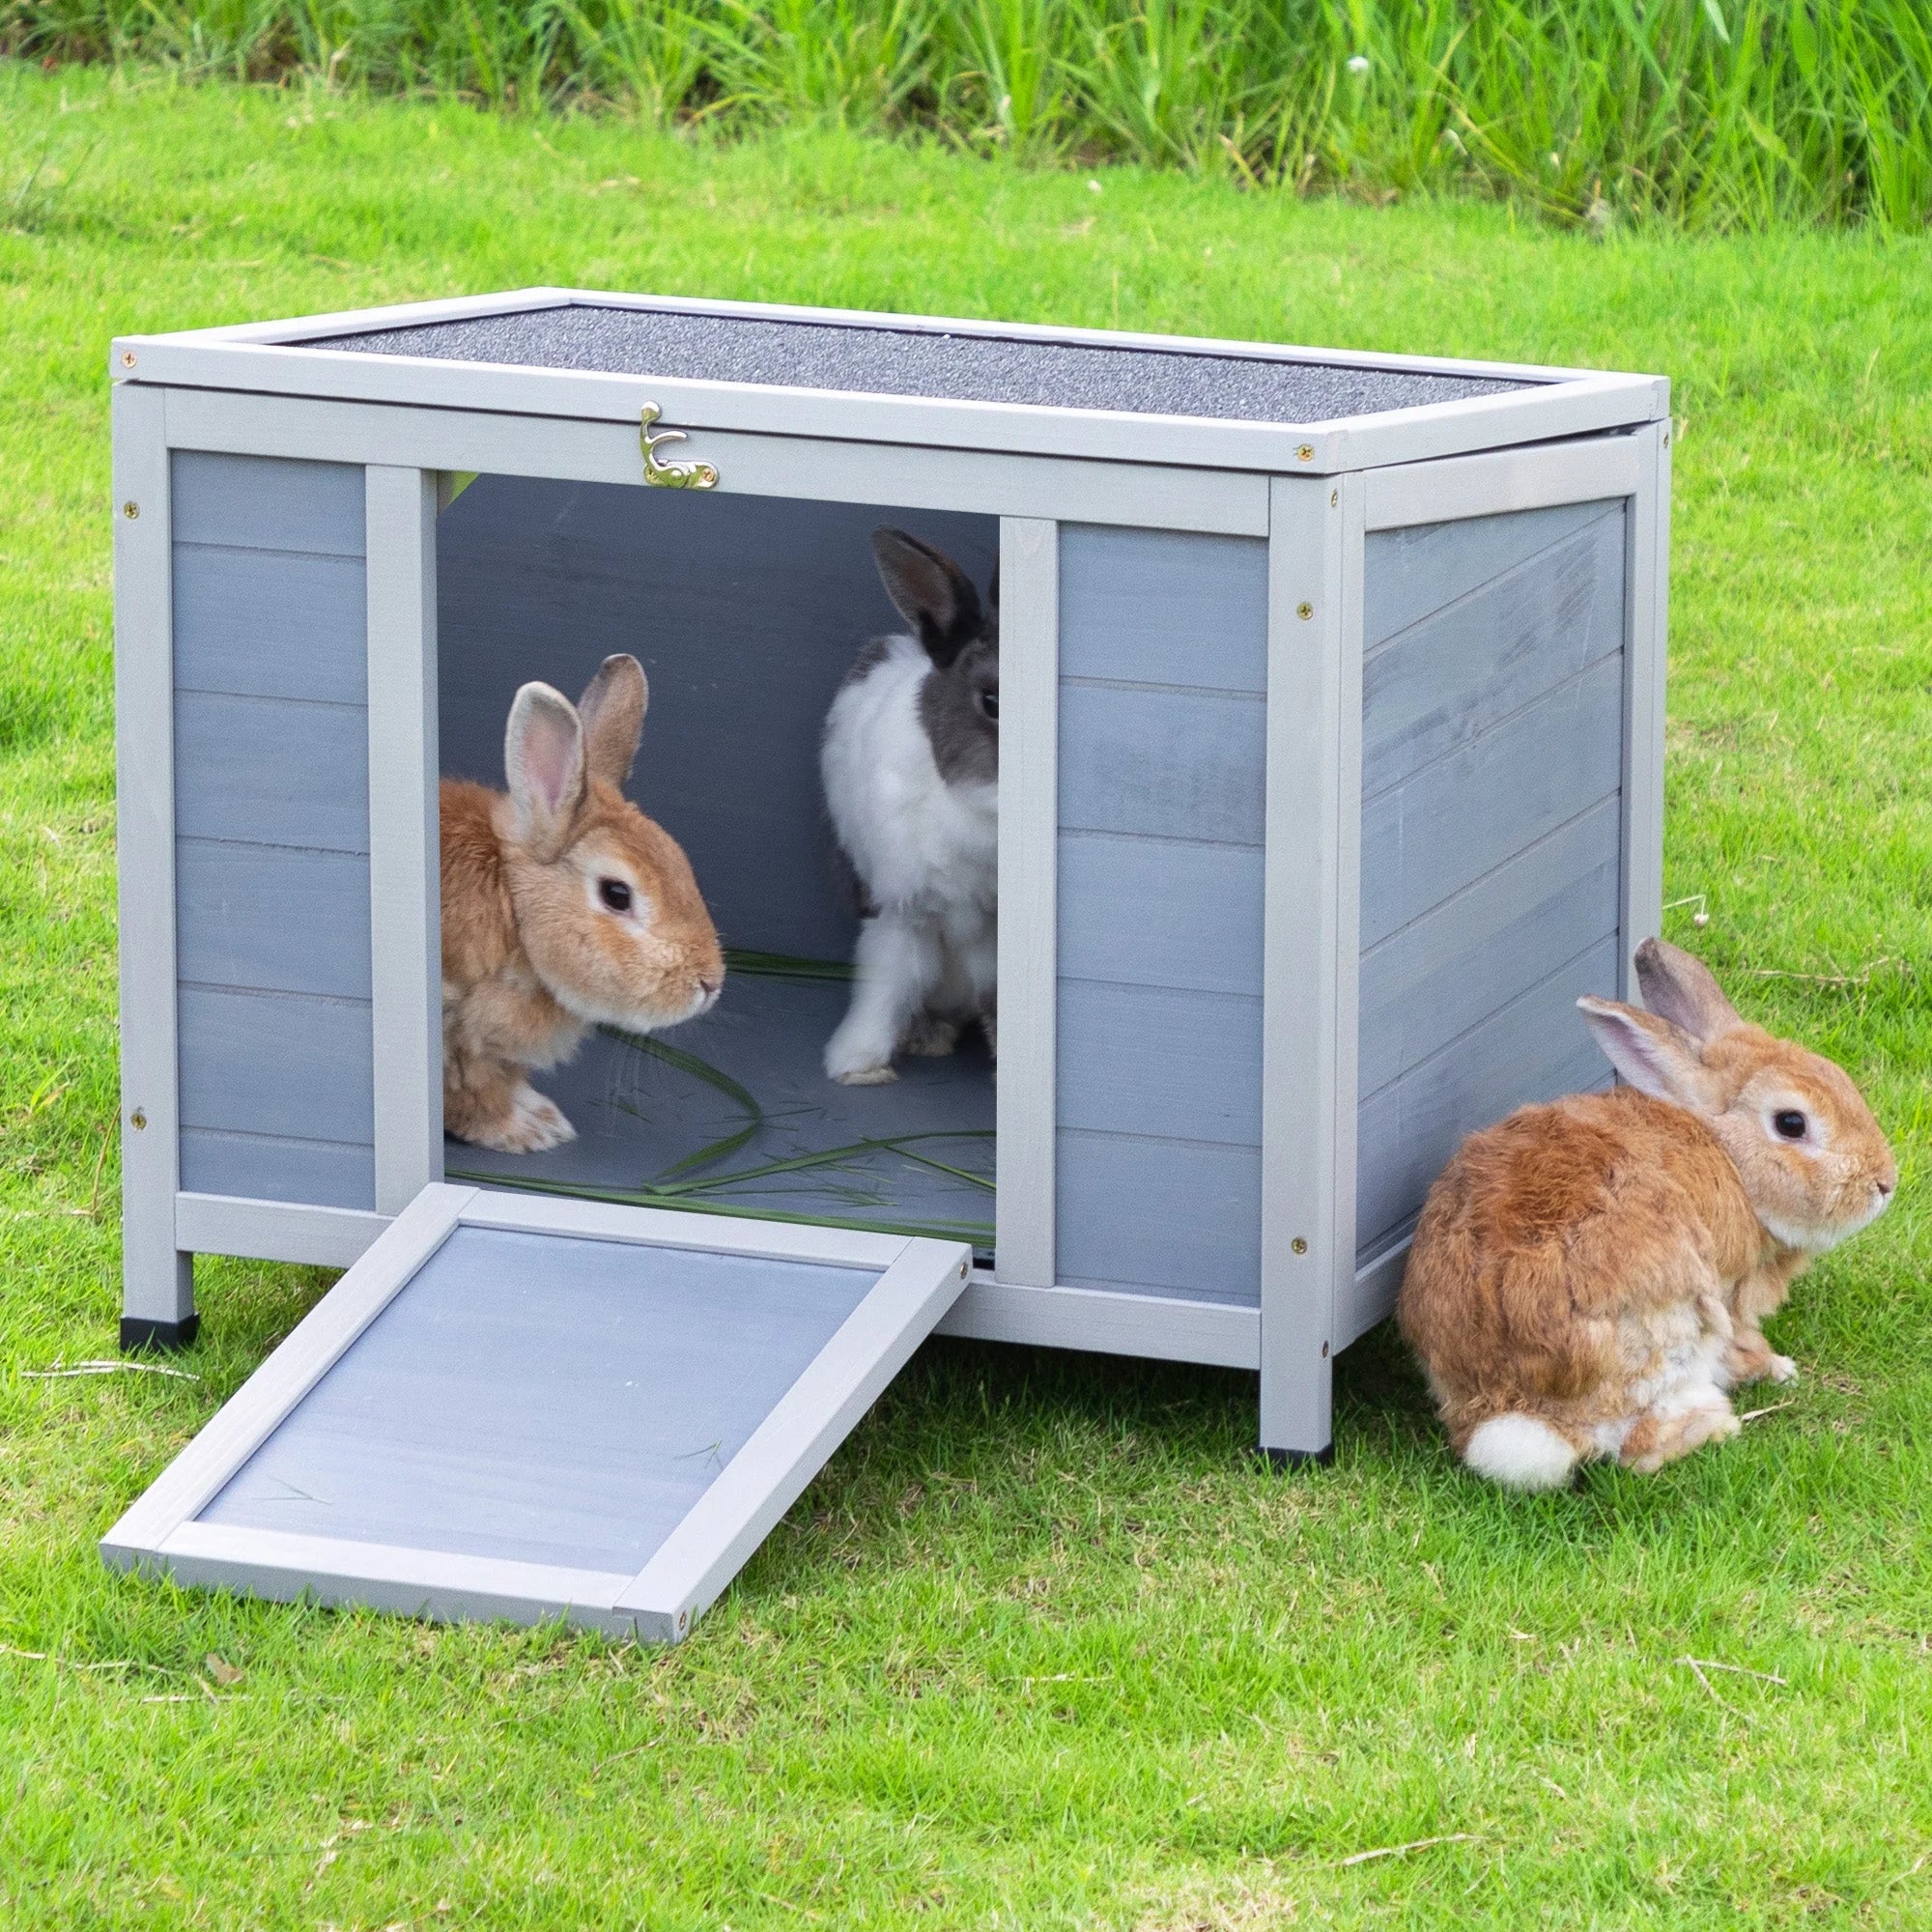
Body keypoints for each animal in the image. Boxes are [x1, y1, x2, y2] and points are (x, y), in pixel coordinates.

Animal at [439, 657, 726, 1151]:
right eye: (617, 894)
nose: (710, 984)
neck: (514, 909)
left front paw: (542, 1116)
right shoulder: (457, 1035)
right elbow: (471, 1095)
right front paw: (531, 1132)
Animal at [1399, 939, 1893, 1492]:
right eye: (1791, 1123)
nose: (1884, 1184)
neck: (1729, 1156)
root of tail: (1506, 1405)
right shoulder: (1731, 1298)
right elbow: (1743, 1345)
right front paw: (1778, 1368)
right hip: (1675, 1328)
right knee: (1638, 1447)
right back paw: (1716, 1423)